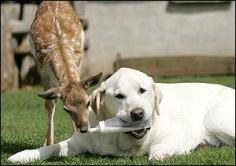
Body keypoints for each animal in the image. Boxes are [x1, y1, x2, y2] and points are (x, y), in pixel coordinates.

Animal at [8, 67, 235, 163]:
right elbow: (52, 147)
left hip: (215, 118)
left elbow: (159, 149)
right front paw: (25, 155)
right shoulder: (78, 142)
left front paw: (163, 152)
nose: (138, 113)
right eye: (119, 96)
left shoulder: (184, 132)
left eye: (143, 90)